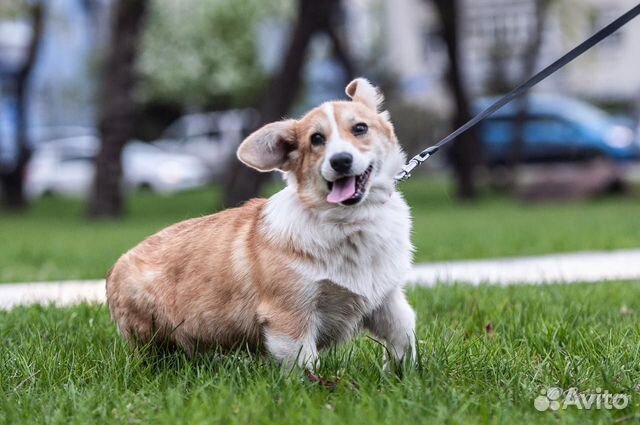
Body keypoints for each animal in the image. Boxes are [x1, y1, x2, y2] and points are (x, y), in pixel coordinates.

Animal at [106, 78, 416, 368]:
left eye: (360, 128)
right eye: (316, 139)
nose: (340, 161)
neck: (350, 222)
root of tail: (115, 268)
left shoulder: (387, 302)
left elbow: (403, 335)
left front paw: (402, 373)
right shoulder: (289, 317)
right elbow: (306, 367)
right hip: (153, 328)